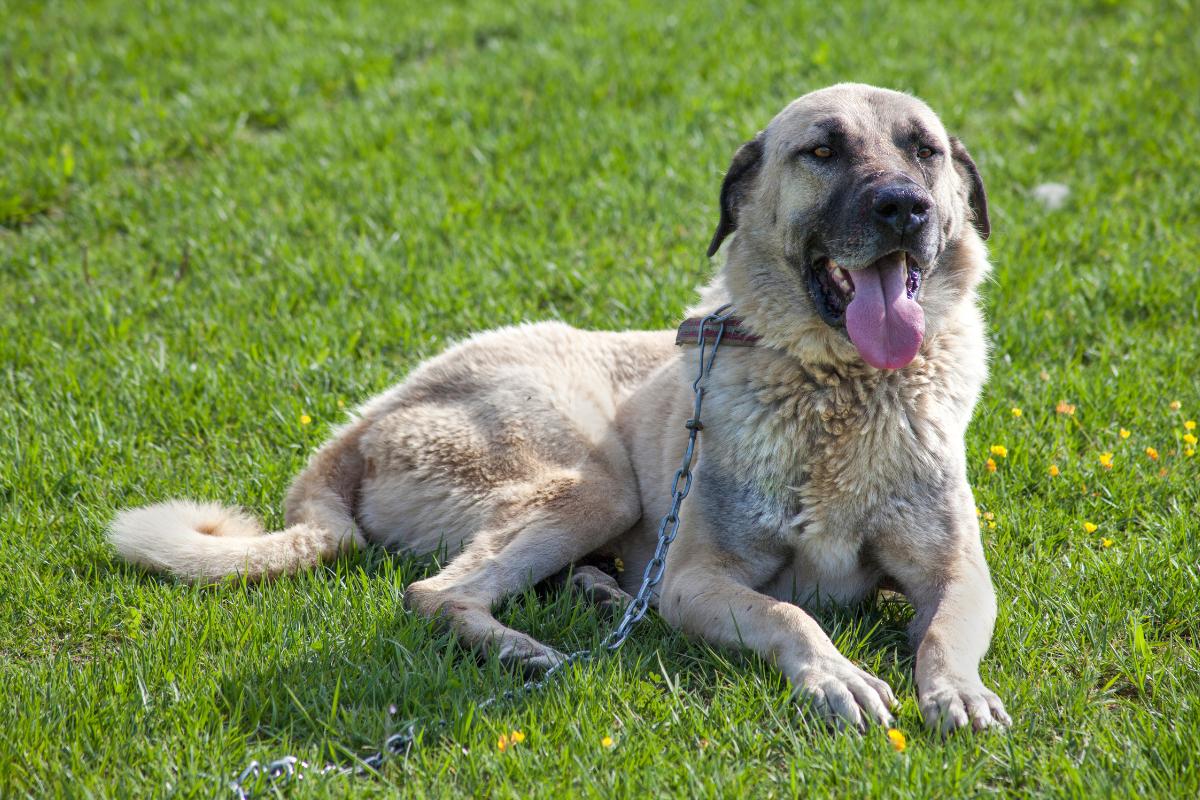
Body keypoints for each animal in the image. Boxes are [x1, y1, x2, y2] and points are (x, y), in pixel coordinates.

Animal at [110, 82, 1012, 734]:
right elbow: (789, 614)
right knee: (434, 594)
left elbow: (941, 631)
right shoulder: (695, 579)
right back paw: (522, 649)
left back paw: (598, 595)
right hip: (592, 482)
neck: (839, 388)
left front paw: (956, 691)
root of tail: (365, 420)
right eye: (823, 150)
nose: (904, 207)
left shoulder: (957, 571)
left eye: (924, 151)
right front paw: (838, 677)